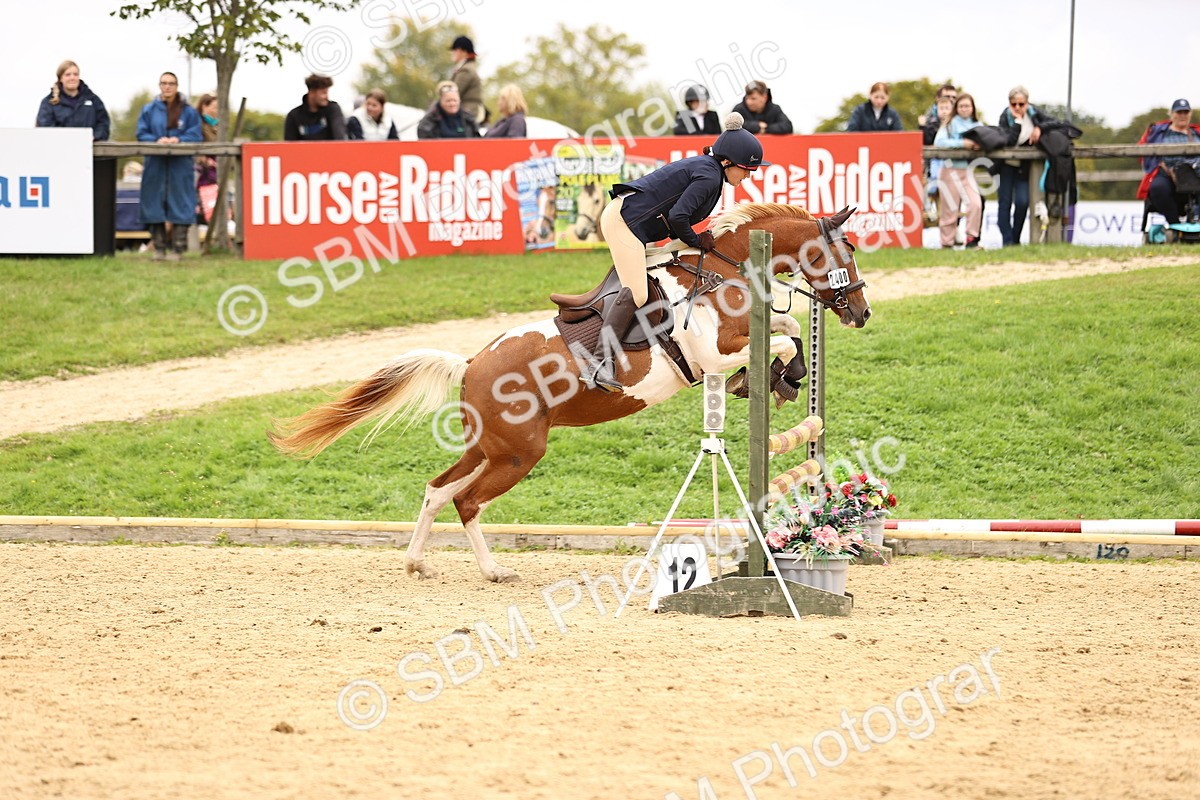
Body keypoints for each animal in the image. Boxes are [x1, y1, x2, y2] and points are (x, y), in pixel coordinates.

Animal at [269, 203, 871, 583]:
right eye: (846, 252)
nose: (863, 313)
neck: (723, 272)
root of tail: (471, 364)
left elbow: (787, 333)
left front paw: (779, 379)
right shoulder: (711, 357)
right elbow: (785, 337)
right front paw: (778, 377)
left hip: (488, 448)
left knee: (437, 490)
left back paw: (418, 564)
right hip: (519, 453)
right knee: (466, 501)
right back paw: (493, 571)